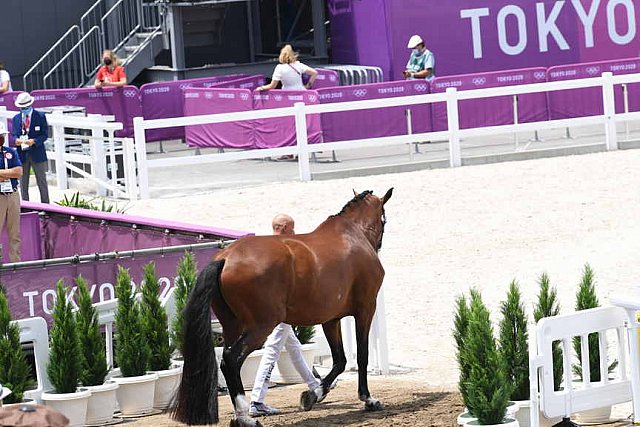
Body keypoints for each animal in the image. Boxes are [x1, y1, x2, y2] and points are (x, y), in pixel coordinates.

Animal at [174, 191, 390, 427]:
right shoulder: (365, 309)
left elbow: (340, 360)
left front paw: (313, 394)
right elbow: (361, 355)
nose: (380, 244)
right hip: (261, 326)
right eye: (383, 218)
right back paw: (246, 418)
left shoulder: (330, 319)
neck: (352, 234)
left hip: (232, 325)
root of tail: (225, 258)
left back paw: (241, 416)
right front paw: (368, 399)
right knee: (231, 360)